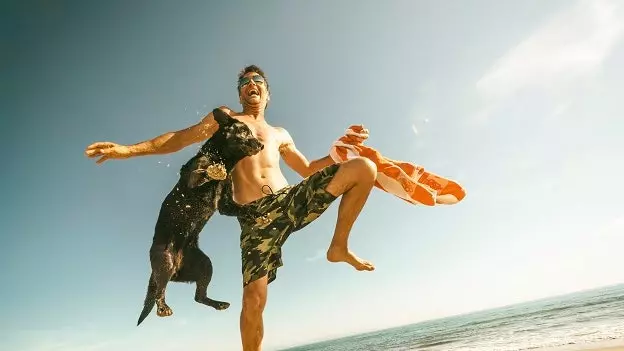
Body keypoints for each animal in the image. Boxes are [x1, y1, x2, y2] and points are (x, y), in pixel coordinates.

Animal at [136, 108, 264, 328]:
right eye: (245, 131)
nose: (261, 145)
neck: (223, 158)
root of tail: (176, 268)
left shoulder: (226, 205)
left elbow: (242, 208)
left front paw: (255, 213)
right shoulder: (194, 178)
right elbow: (204, 172)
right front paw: (215, 170)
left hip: (205, 265)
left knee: (198, 296)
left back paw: (219, 304)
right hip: (165, 260)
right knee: (161, 289)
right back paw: (163, 308)